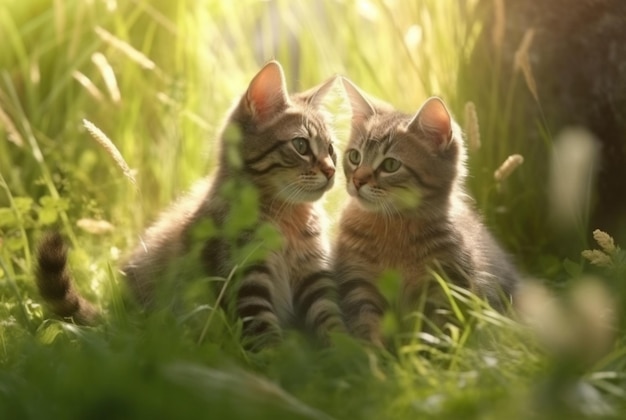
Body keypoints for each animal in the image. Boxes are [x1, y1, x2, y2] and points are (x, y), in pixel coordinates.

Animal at [36, 60, 344, 346]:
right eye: (301, 146)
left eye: (331, 150)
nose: (331, 171)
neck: (287, 216)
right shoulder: (245, 280)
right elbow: (265, 335)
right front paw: (279, 361)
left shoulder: (314, 275)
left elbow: (330, 319)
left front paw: (346, 356)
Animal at [332, 79, 516, 348]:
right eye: (354, 157)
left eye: (390, 165)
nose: (357, 181)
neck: (392, 226)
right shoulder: (358, 283)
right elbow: (368, 328)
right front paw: (374, 357)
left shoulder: (445, 285)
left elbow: (434, 333)